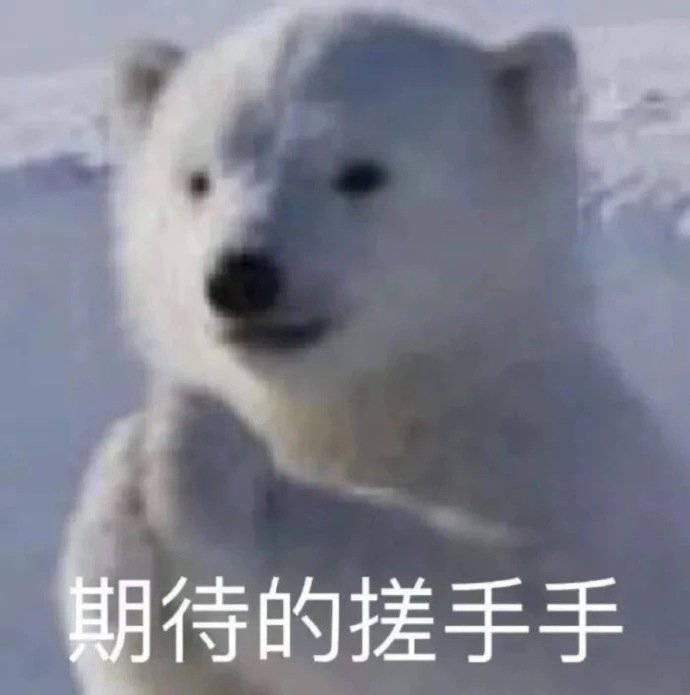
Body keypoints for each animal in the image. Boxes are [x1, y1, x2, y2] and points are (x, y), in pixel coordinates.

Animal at [59, 5, 690, 694]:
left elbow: (562, 616)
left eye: (360, 172)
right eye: (197, 179)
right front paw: (116, 500)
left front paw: (194, 454)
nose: (242, 277)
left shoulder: (570, 461)